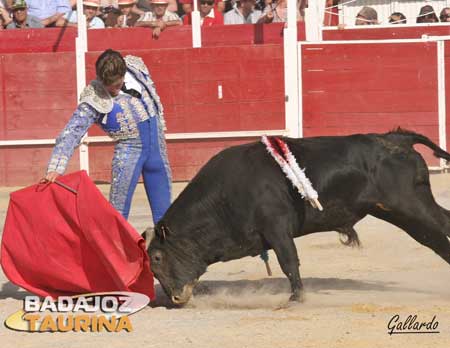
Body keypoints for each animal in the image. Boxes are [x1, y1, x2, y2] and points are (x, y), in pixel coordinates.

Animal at [149, 129, 450, 304]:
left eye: (157, 258)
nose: (175, 298)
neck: (225, 195)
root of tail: (395, 138)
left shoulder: (276, 228)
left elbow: (289, 262)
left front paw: (296, 298)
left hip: (410, 206)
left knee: (438, 235)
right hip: (400, 209)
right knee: (439, 230)